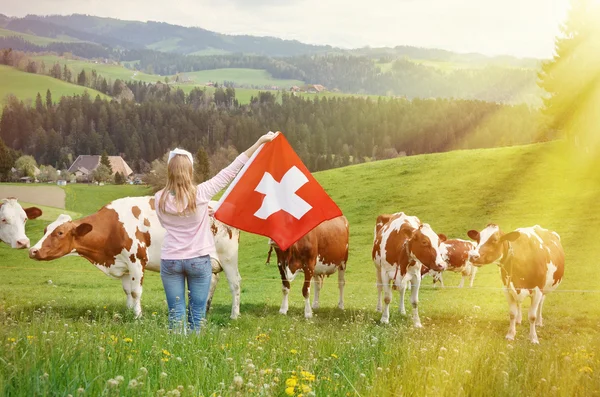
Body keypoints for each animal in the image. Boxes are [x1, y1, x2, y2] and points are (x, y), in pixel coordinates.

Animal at [27, 197, 240, 318]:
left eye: (60, 233)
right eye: (45, 229)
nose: (33, 251)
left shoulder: (137, 261)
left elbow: (137, 292)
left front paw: (137, 317)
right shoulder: (122, 264)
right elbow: (127, 291)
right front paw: (128, 312)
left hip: (228, 257)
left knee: (235, 284)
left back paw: (234, 316)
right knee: (211, 283)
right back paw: (203, 312)